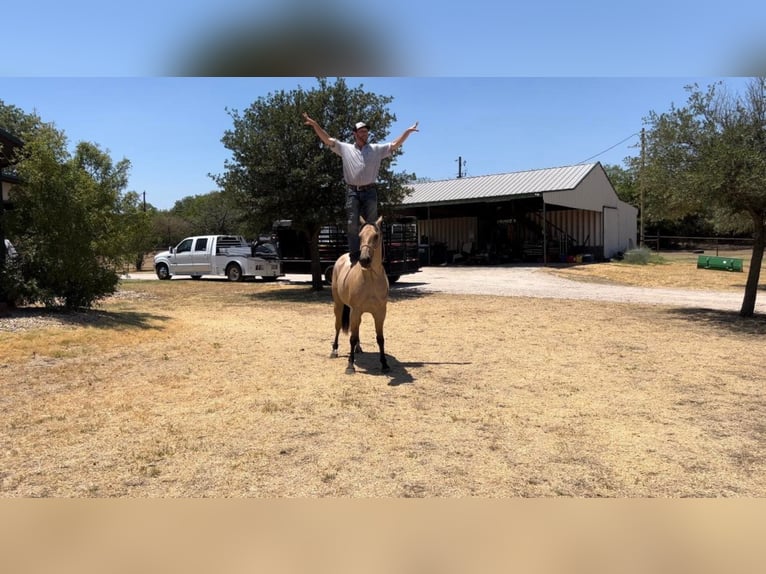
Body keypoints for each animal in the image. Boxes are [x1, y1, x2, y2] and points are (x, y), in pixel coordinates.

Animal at [332, 215, 392, 374]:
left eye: (376, 236)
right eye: (360, 236)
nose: (364, 260)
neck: (370, 280)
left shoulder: (380, 313)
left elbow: (380, 338)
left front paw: (384, 364)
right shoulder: (355, 310)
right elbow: (352, 338)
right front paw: (350, 366)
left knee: (357, 329)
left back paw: (358, 349)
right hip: (339, 305)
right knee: (338, 326)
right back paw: (334, 351)